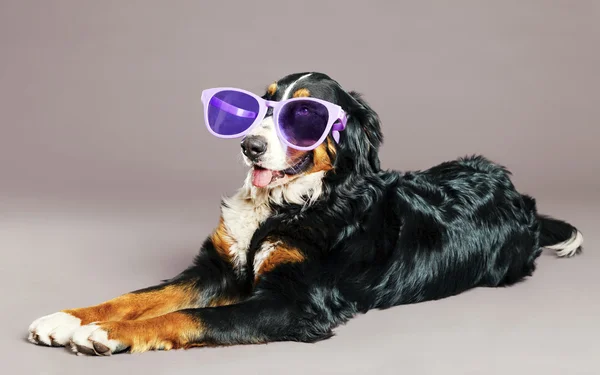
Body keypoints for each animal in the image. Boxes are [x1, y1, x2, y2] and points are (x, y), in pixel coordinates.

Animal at [27, 72, 580, 356]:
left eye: (307, 115)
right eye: (260, 107)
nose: (249, 147)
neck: (281, 209)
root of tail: (520, 197)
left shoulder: (296, 302)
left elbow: (188, 315)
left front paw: (106, 335)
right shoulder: (215, 267)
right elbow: (137, 297)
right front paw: (68, 319)